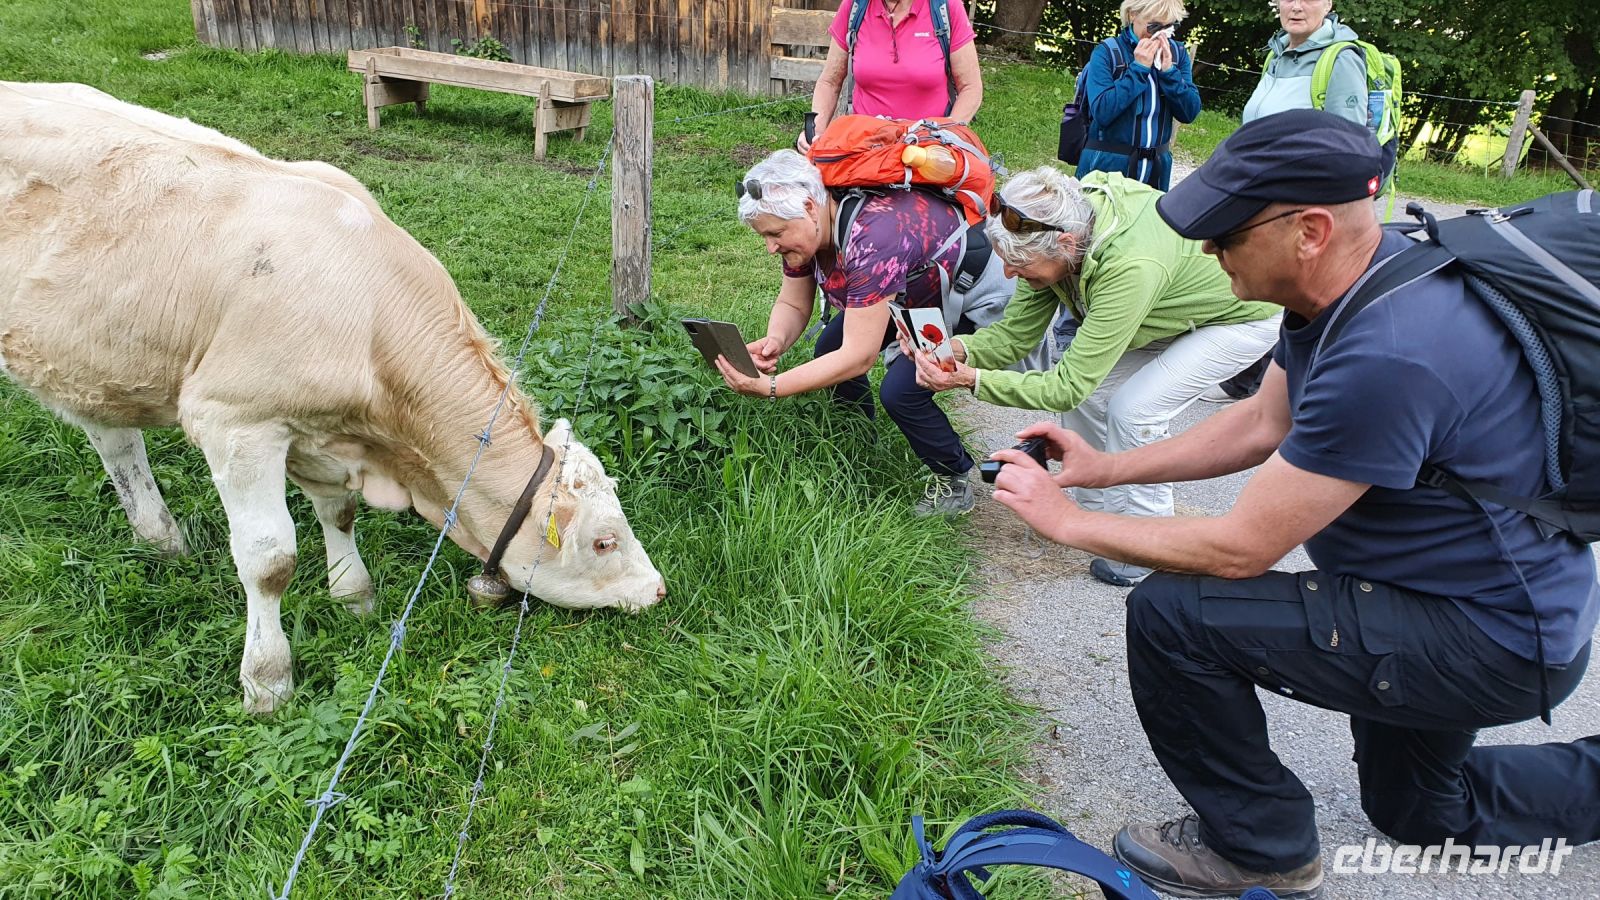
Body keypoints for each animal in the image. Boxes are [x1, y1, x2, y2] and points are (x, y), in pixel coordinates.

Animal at [0, 82, 666, 715]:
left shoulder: (321, 433)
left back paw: (162, 541)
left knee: (114, 439)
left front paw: (353, 595)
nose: (658, 590)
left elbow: (337, 512)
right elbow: (269, 561)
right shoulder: (234, 422)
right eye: (604, 542)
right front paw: (267, 680)